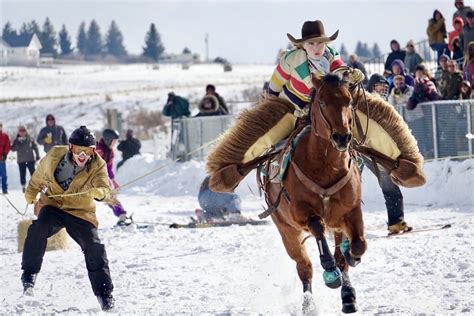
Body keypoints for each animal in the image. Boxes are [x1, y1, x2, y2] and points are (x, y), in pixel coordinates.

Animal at [262, 74, 366, 314]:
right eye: (323, 103)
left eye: (349, 101)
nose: (341, 137)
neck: (326, 166)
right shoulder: (301, 211)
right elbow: (317, 226)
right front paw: (329, 269)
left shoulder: (351, 210)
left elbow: (358, 245)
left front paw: (350, 257)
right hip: (287, 230)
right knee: (304, 267)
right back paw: (309, 304)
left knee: (340, 254)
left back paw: (347, 294)